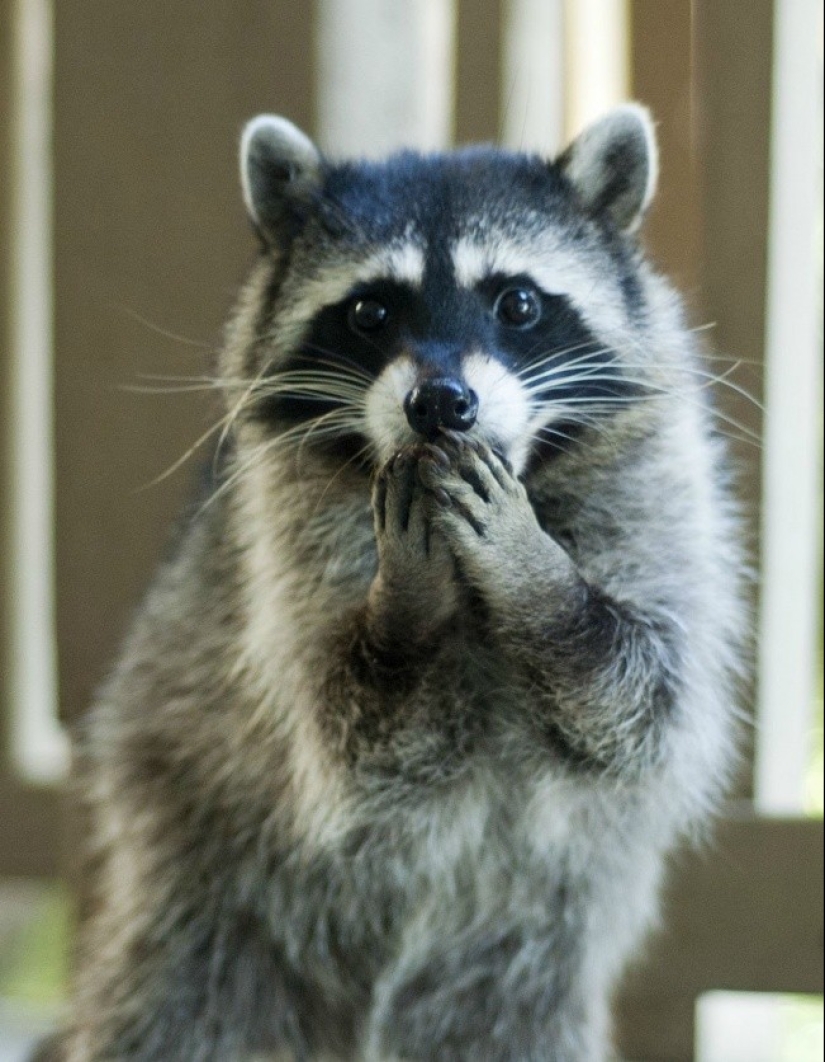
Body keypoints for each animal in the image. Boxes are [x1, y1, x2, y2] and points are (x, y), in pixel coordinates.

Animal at [59, 105, 745, 1062]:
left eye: (517, 302)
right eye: (369, 310)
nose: (442, 402)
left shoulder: (660, 495)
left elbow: (644, 704)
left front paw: (539, 585)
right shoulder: (281, 543)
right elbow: (359, 736)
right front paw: (409, 608)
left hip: (515, 965)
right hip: (199, 880)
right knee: (172, 1009)